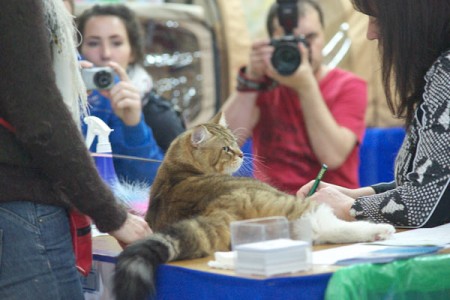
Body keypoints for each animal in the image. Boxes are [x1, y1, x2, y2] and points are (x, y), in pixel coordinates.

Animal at [112, 112, 394, 300]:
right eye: (226, 148)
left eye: (236, 143)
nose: (240, 153)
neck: (178, 169)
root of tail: (217, 206)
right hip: (293, 205)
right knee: (326, 227)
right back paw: (377, 231)